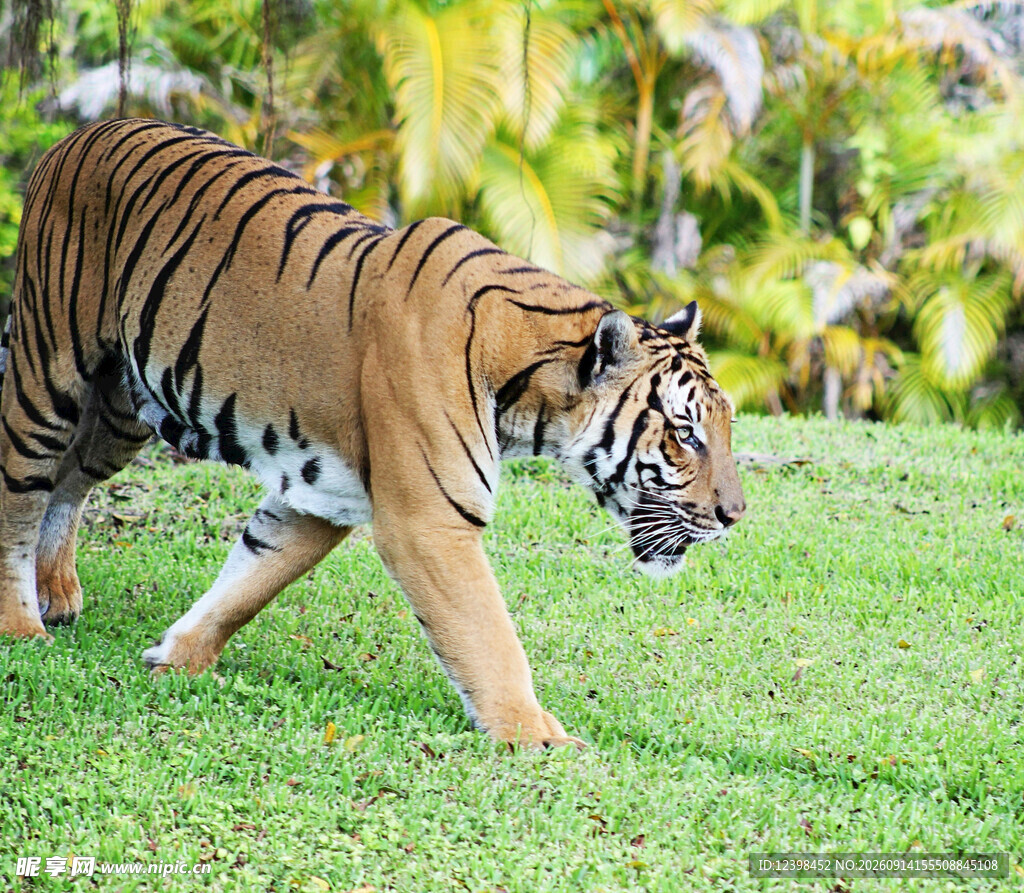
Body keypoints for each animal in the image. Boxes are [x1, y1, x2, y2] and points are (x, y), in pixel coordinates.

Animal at [0, 119, 745, 748]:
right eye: (685, 433)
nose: (735, 515)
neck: (528, 391)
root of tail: (79, 134)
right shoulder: (429, 520)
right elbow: (489, 635)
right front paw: (537, 736)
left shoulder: (318, 493)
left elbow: (249, 579)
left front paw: (176, 656)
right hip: (48, 367)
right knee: (20, 488)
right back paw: (22, 624)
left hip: (124, 409)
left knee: (71, 480)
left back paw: (57, 589)